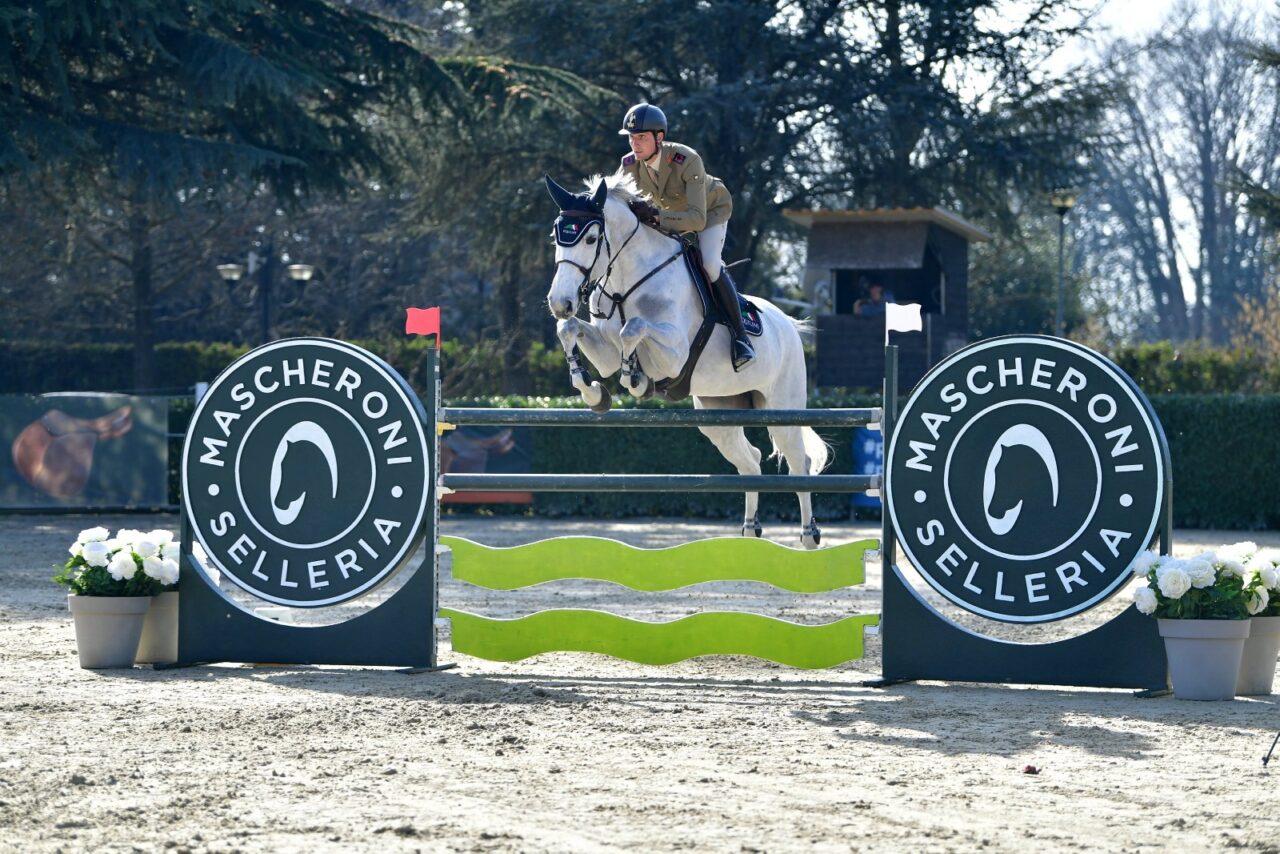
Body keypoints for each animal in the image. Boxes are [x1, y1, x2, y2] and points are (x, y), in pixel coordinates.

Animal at [542, 172, 829, 547]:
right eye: (556, 237)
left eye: (591, 238)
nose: (560, 302)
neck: (625, 283)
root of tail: (789, 326)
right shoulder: (603, 351)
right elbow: (569, 330)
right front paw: (593, 392)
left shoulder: (675, 354)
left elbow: (633, 329)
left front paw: (635, 379)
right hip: (717, 412)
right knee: (750, 462)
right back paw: (749, 532)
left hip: (783, 410)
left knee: (799, 464)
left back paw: (809, 536)